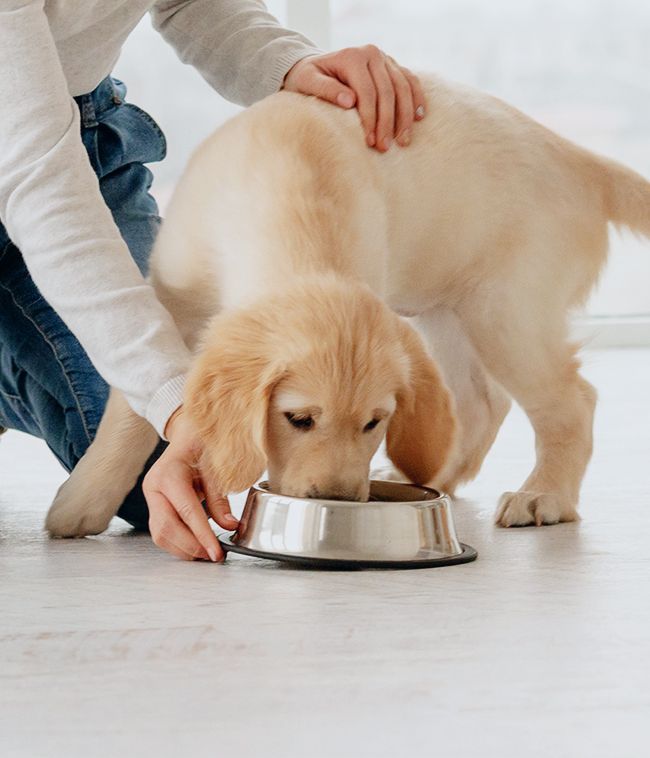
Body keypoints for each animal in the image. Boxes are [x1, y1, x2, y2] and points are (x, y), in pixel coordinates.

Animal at [46, 70, 648, 536]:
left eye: (374, 423)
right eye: (298, 419)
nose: (335, 500)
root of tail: (580, 161)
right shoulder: (171, 299)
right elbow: (132, 409)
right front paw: (83, 502)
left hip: (505, 311)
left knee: (572, 402)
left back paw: (544, 495)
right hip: (447, 309)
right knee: (478, 404)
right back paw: (429, 475)